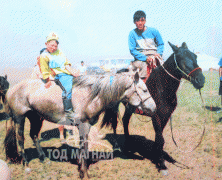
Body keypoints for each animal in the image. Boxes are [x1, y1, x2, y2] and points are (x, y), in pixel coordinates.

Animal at [3, 71, 156, 179]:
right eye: (144, 90)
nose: (154, 108)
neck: (91, 95)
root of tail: (11, 90)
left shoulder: (86, 127)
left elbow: (85, 148)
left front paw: (83, 169)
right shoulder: (83, 126)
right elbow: (84, 148)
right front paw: (84, 172)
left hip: (35, 117)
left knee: (34, 135)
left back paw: (44, 159)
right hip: (20, 118)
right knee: (21, 139)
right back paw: (26, 165)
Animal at [101, 41, 206, 174]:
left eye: (195, 56)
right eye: (181, 58)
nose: (200, 80)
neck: (163, 87)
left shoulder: (165, 116)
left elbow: (158, 137)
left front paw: (157, 157)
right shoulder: (156, 116)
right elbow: (160, 139)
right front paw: (162, 164)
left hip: (130, 107)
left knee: (125, 121)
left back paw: (129, 144)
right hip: (115, 105)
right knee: (115, 122)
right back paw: (117, 146)